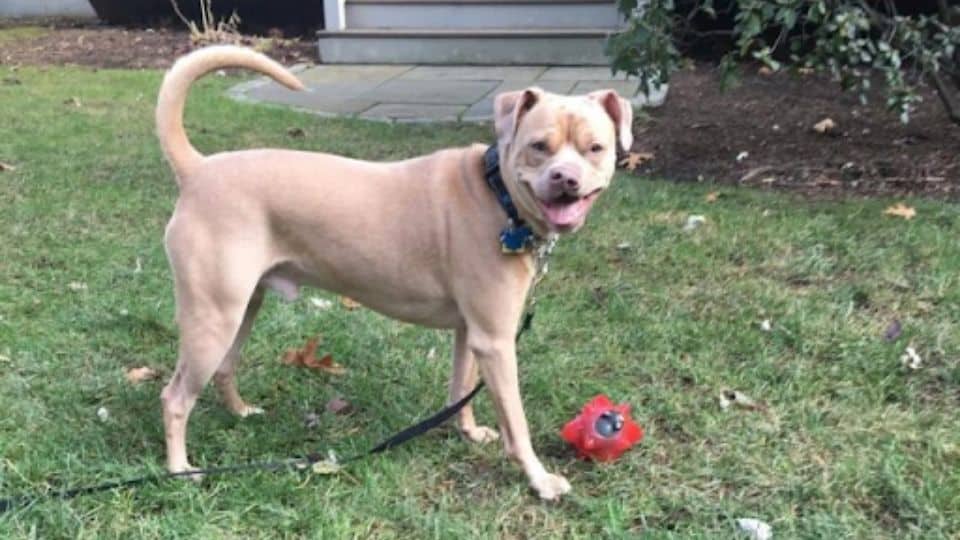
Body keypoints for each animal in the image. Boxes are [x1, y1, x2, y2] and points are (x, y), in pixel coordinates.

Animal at [156, 44, 632, 500]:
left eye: (595, 148)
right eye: (538, 146)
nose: (566, 179)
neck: (497, 193)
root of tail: (198, 169)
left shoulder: (470, 333)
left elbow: (460, 388)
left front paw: (468, 431)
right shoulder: (496, 342)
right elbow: (516, 423)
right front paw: (540, 479)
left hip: (242, 308)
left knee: (223, 369)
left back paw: (240, 412)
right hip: (213, 318)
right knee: (174, 397)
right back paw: (180, 469)